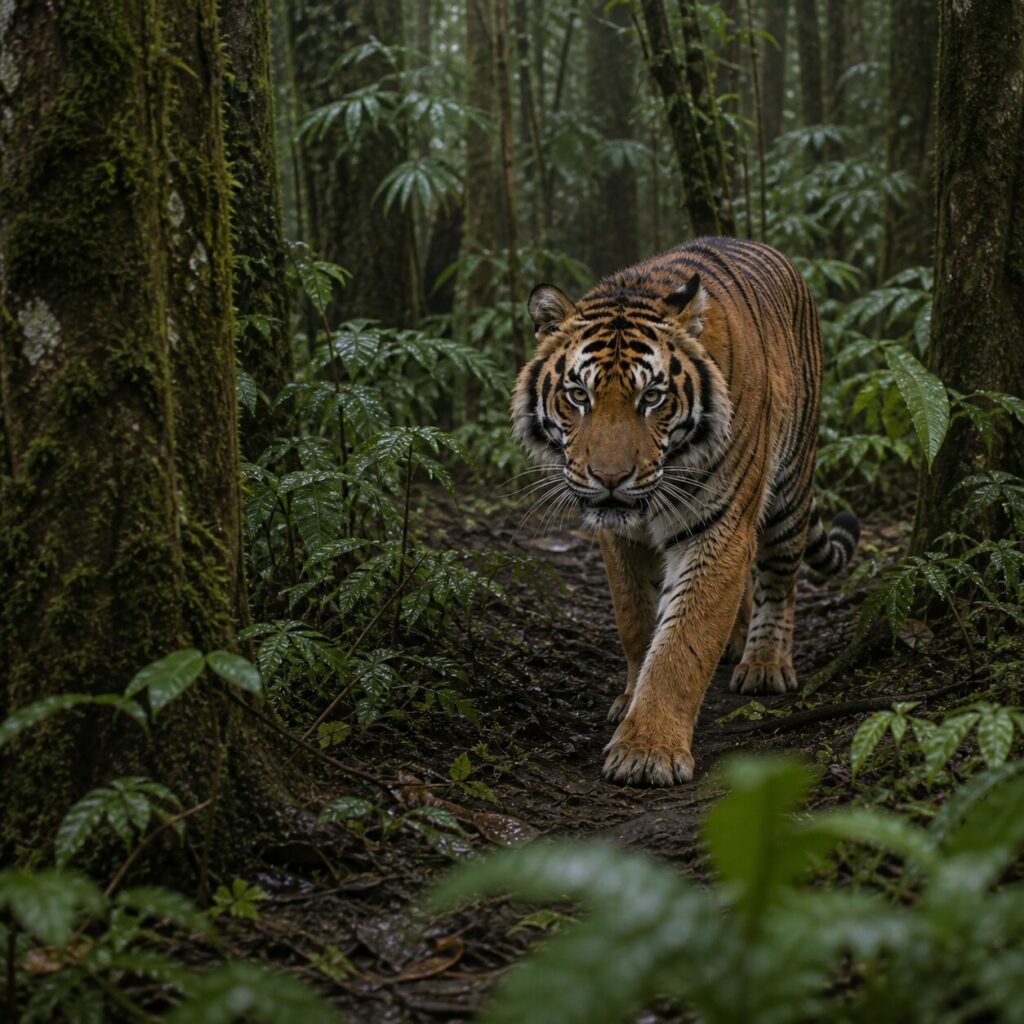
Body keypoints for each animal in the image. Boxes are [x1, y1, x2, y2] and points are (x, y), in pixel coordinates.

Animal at [512, 237, 859, 786]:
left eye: (652, 397)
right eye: (578, 395)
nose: (610, 479)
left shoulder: (719, 527)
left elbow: (682, 642)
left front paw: (646, 750)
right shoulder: (619, 537)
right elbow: (635, 620)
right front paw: (629, 698)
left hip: (790, 485)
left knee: (780, 579)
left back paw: (764, 664)